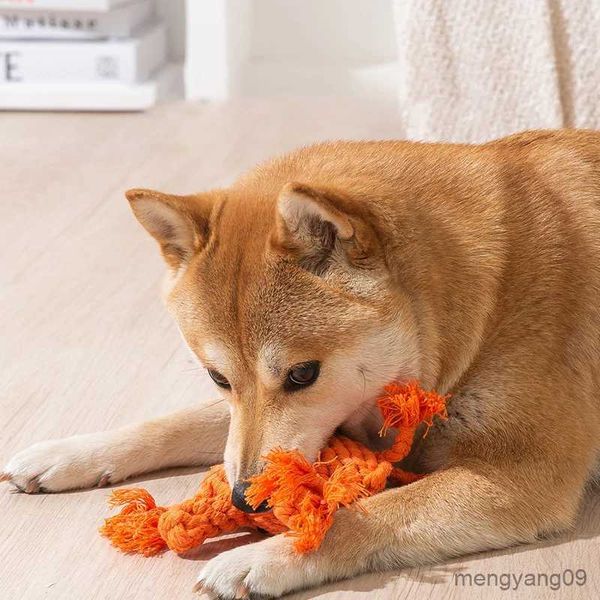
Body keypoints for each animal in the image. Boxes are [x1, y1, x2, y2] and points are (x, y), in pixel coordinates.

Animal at [3, 129, 600, 596]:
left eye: (303, 374)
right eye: (218, 377)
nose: (243, 499)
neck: (479, 303)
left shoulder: (522, 476)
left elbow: (365, 516)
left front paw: (266, 556)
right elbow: (174, 424)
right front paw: (66, 453)